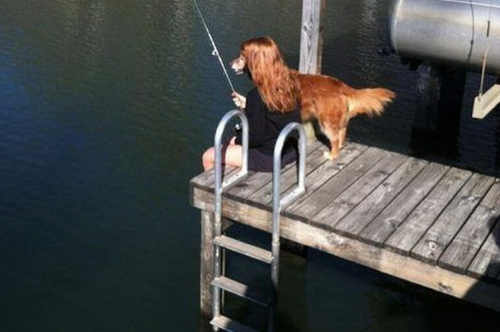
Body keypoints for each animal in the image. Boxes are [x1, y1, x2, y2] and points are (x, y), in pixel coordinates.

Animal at [229, 36, 394, 161]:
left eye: (241, 57)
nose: (230, 62)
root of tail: (342, 86)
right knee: (342, 133)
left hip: (326, 121)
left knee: (335, 138)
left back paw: (332, 155)